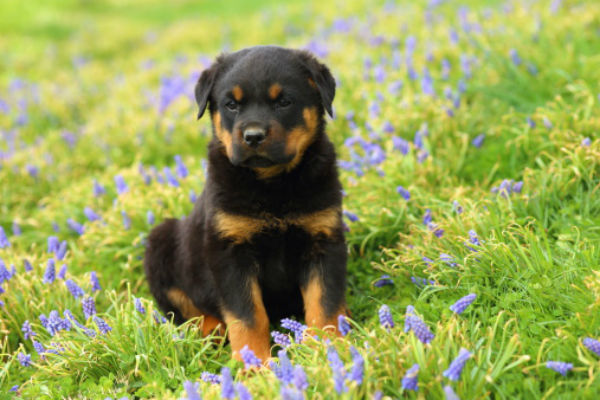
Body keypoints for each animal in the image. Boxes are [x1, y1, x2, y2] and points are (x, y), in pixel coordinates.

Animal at [144, 44, 346, 362]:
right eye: (231, 105)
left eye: (284, 102)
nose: (253, 136)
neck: (272, 183)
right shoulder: (230, 252)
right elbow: (248, 315)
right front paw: (254, 364)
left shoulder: (323, 239)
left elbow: (324, 304)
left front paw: (329, 350)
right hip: (160, 245)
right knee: (187, 310)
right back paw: (212, 333)